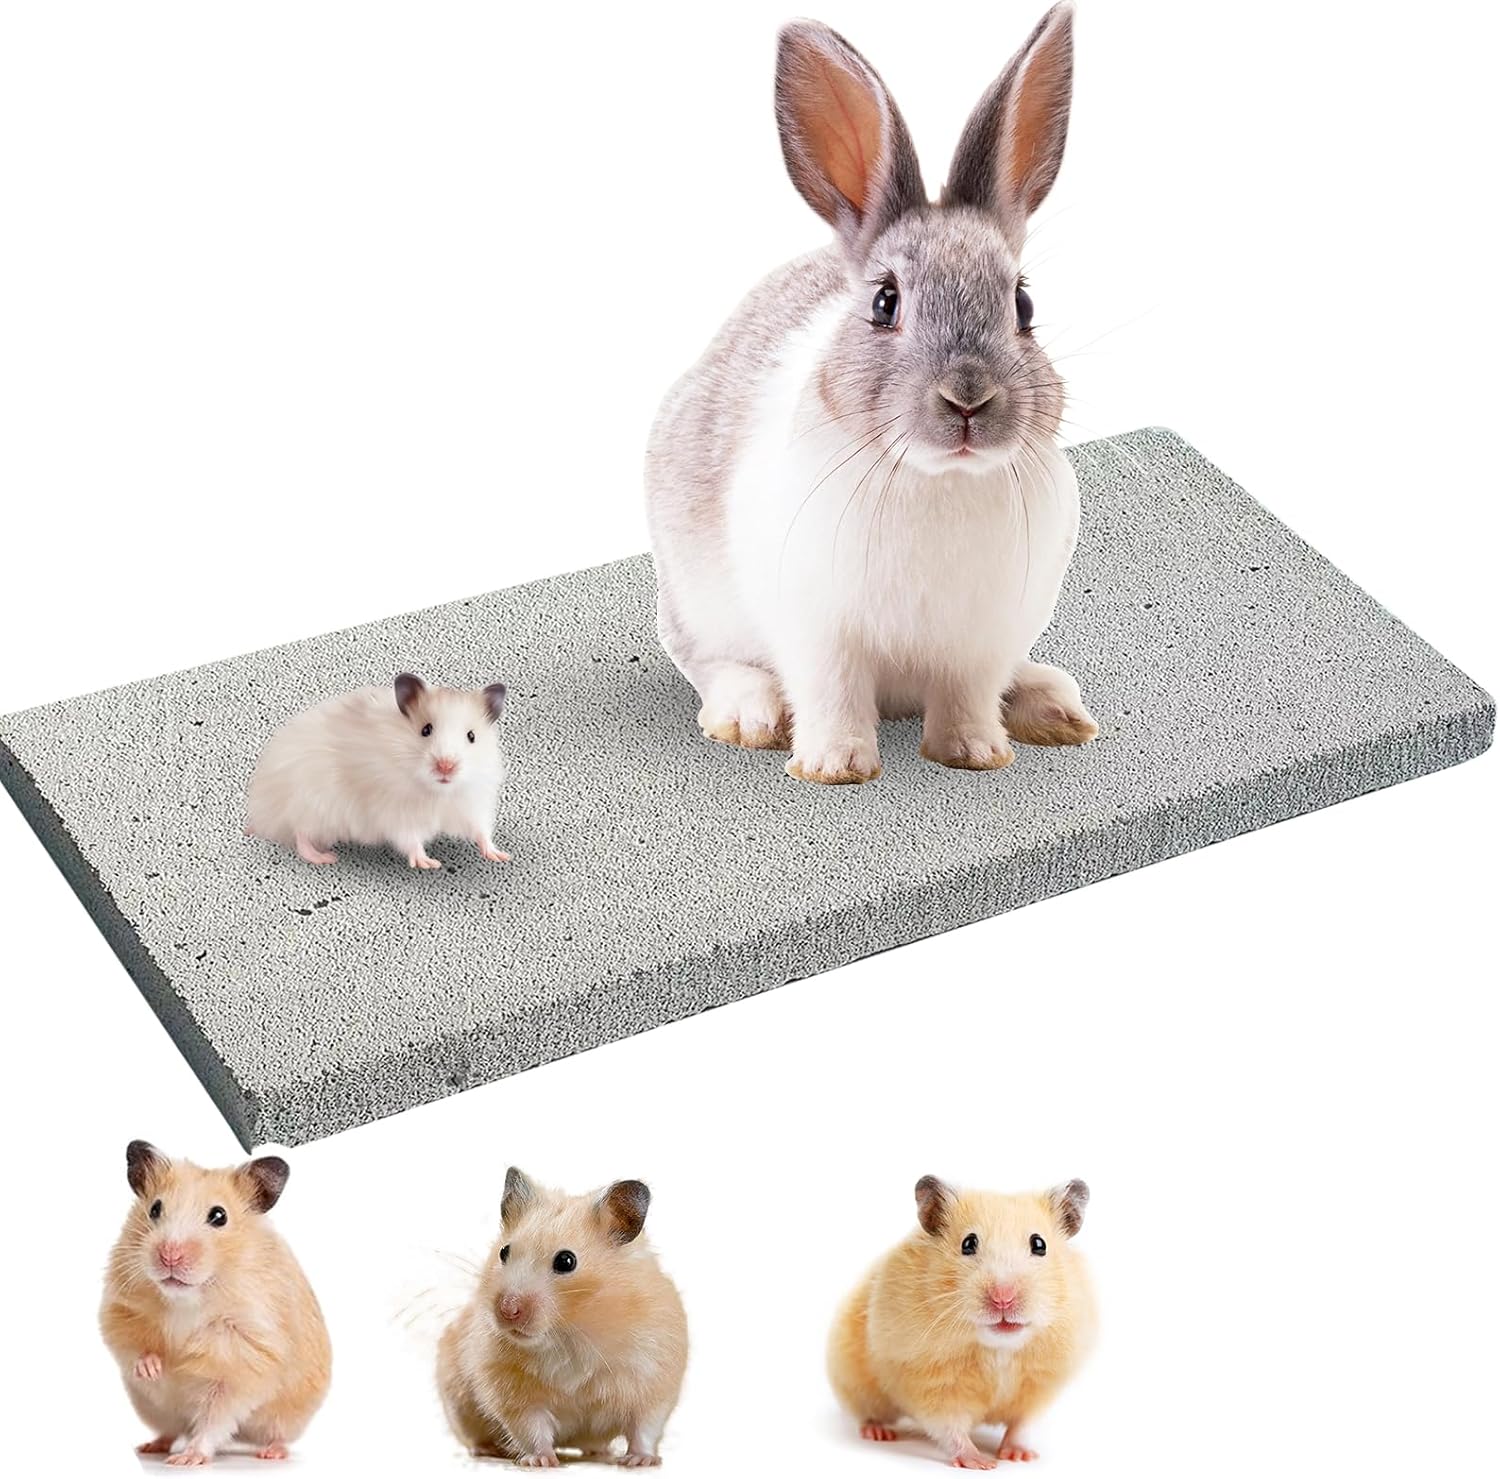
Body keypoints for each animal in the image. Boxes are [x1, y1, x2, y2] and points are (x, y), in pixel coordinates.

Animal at [646, 3, 1098, 785]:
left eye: (1023, 304)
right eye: (886, 303)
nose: (967, 399)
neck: (938, 479)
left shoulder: (981, 639)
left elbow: (968, 696)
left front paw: (975, 753)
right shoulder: (818, 628)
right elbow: (831, 692)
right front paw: (834, 766)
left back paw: (1051, 705)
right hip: (695, 597)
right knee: (709, 661)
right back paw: (748, 713)